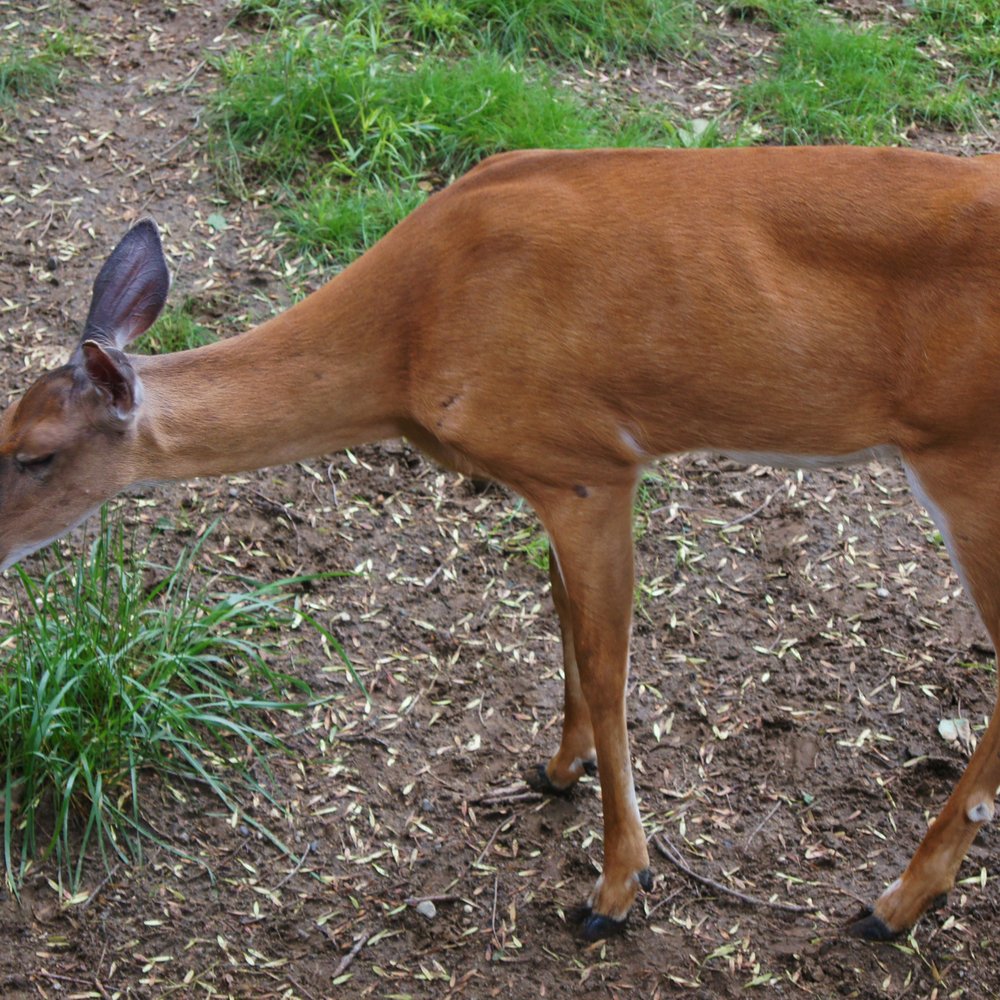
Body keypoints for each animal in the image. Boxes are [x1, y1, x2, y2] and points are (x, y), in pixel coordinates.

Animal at [1, 144, 998, 941]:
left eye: (35, 453)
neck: (410, 340)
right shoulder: (545, 480)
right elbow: (562, 620)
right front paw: (558, 768)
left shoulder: (586, 464)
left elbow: (606, 664)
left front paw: (615, 891)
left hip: (967, 456)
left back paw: (894, 903)